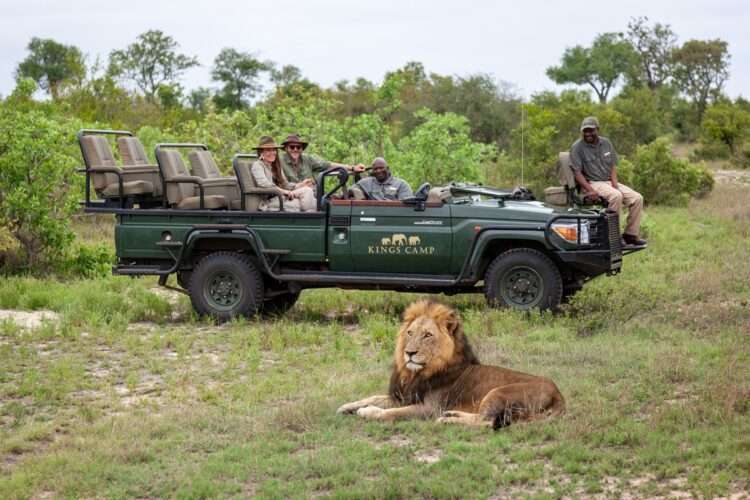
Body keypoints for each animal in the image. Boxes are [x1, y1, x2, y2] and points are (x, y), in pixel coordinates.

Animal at [338, 298, 568, 428]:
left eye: (427, 335)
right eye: (410, 333)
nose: (409, 353)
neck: (416, 373)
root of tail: (559, 396)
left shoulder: (429, 408)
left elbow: (390, 413)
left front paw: (367, 412)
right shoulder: (404, 396)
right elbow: (373, 397)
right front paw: (347, 406)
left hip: (497, 393)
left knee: (486, 422)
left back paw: (448, 420)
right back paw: (453, 414)